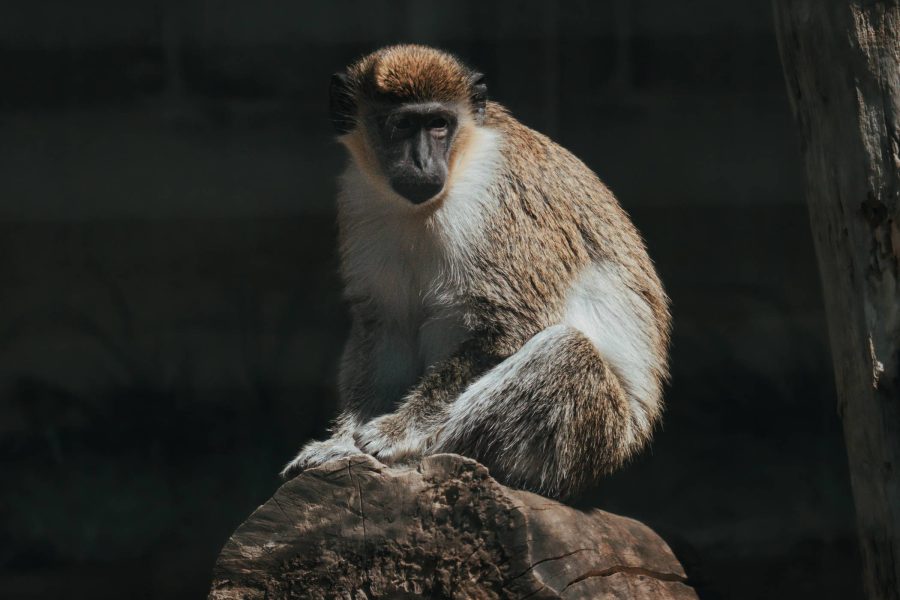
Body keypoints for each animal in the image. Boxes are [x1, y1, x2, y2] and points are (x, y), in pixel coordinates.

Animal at [281, 45, 670, 500]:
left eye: (438, 124)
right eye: (401, 125)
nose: (421, 162)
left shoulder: (496, 200)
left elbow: (509, 324)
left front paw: (394, 433)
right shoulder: (359, 199)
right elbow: (385, 325)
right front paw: (344, 439)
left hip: (591, 439)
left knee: (566, 353)